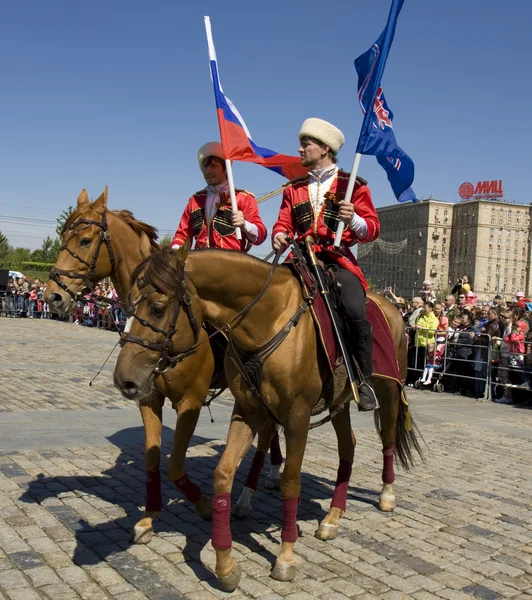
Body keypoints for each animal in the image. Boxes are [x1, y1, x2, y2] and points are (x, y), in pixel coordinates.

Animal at [44, 186, 282, 544]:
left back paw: (249, 494)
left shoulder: (190, 401)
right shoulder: (148, 398)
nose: (52, 296)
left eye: (84, 240)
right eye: (61, 236)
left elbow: (175, 464)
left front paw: (203, 505)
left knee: (268, 432)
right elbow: (153, 458)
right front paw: (148, 518)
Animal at [114, 245, 422, 592]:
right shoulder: (247, 410)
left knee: (387, 438)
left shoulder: (295, 417)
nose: (124, 379)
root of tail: (390, 306)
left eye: (157, 308)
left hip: (389, 390)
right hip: (341, 401)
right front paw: (225, 564)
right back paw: (332, 516)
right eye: (127, 303)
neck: (268, 321)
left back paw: (386, 495)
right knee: (348, 446)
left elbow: (291, 481)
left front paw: (285, 556)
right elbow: (222, 473)